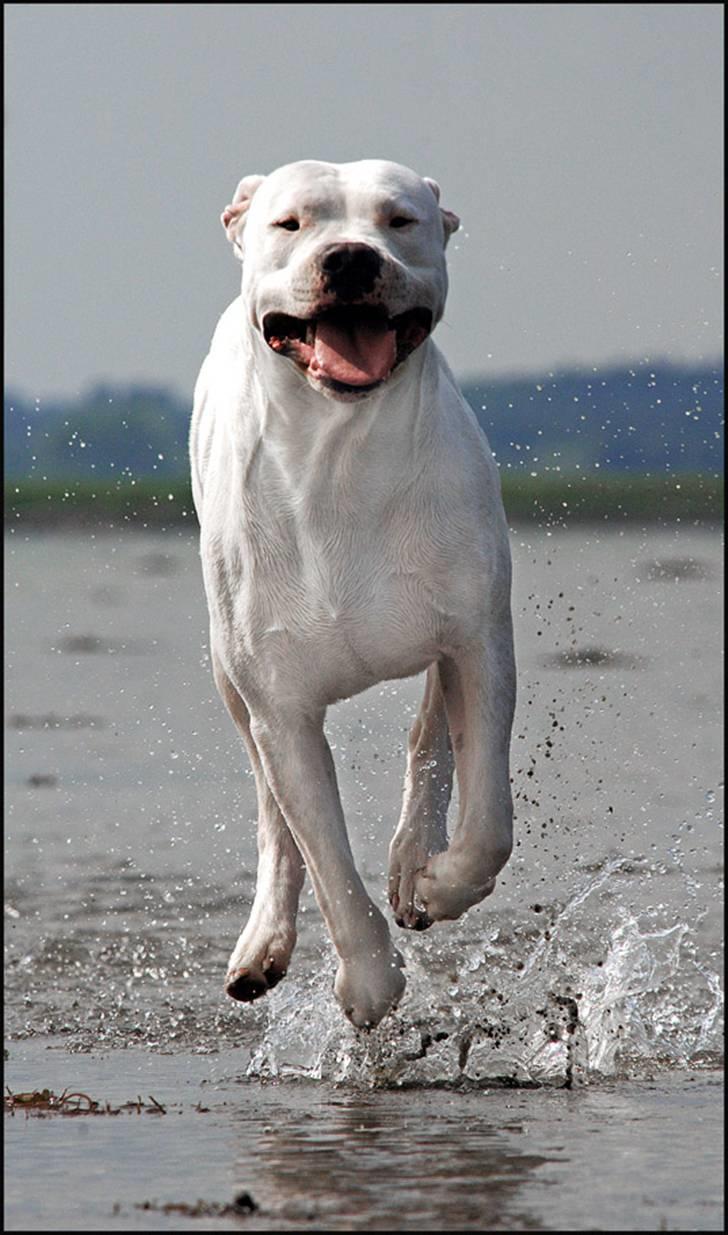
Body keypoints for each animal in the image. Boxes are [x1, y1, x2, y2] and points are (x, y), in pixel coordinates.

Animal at [190, 159, 514, 1027]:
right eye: (291, 222)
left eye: (399, 219)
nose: (350, 259)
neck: (340, 457)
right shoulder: (278, 703)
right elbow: (322, 849)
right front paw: (368, 984)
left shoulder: (479, 638)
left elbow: (487, 820)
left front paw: (437, 883)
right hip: (229, 675)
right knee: (275, 816)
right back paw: (260, 949)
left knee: (433, 735)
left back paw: (411, 863)